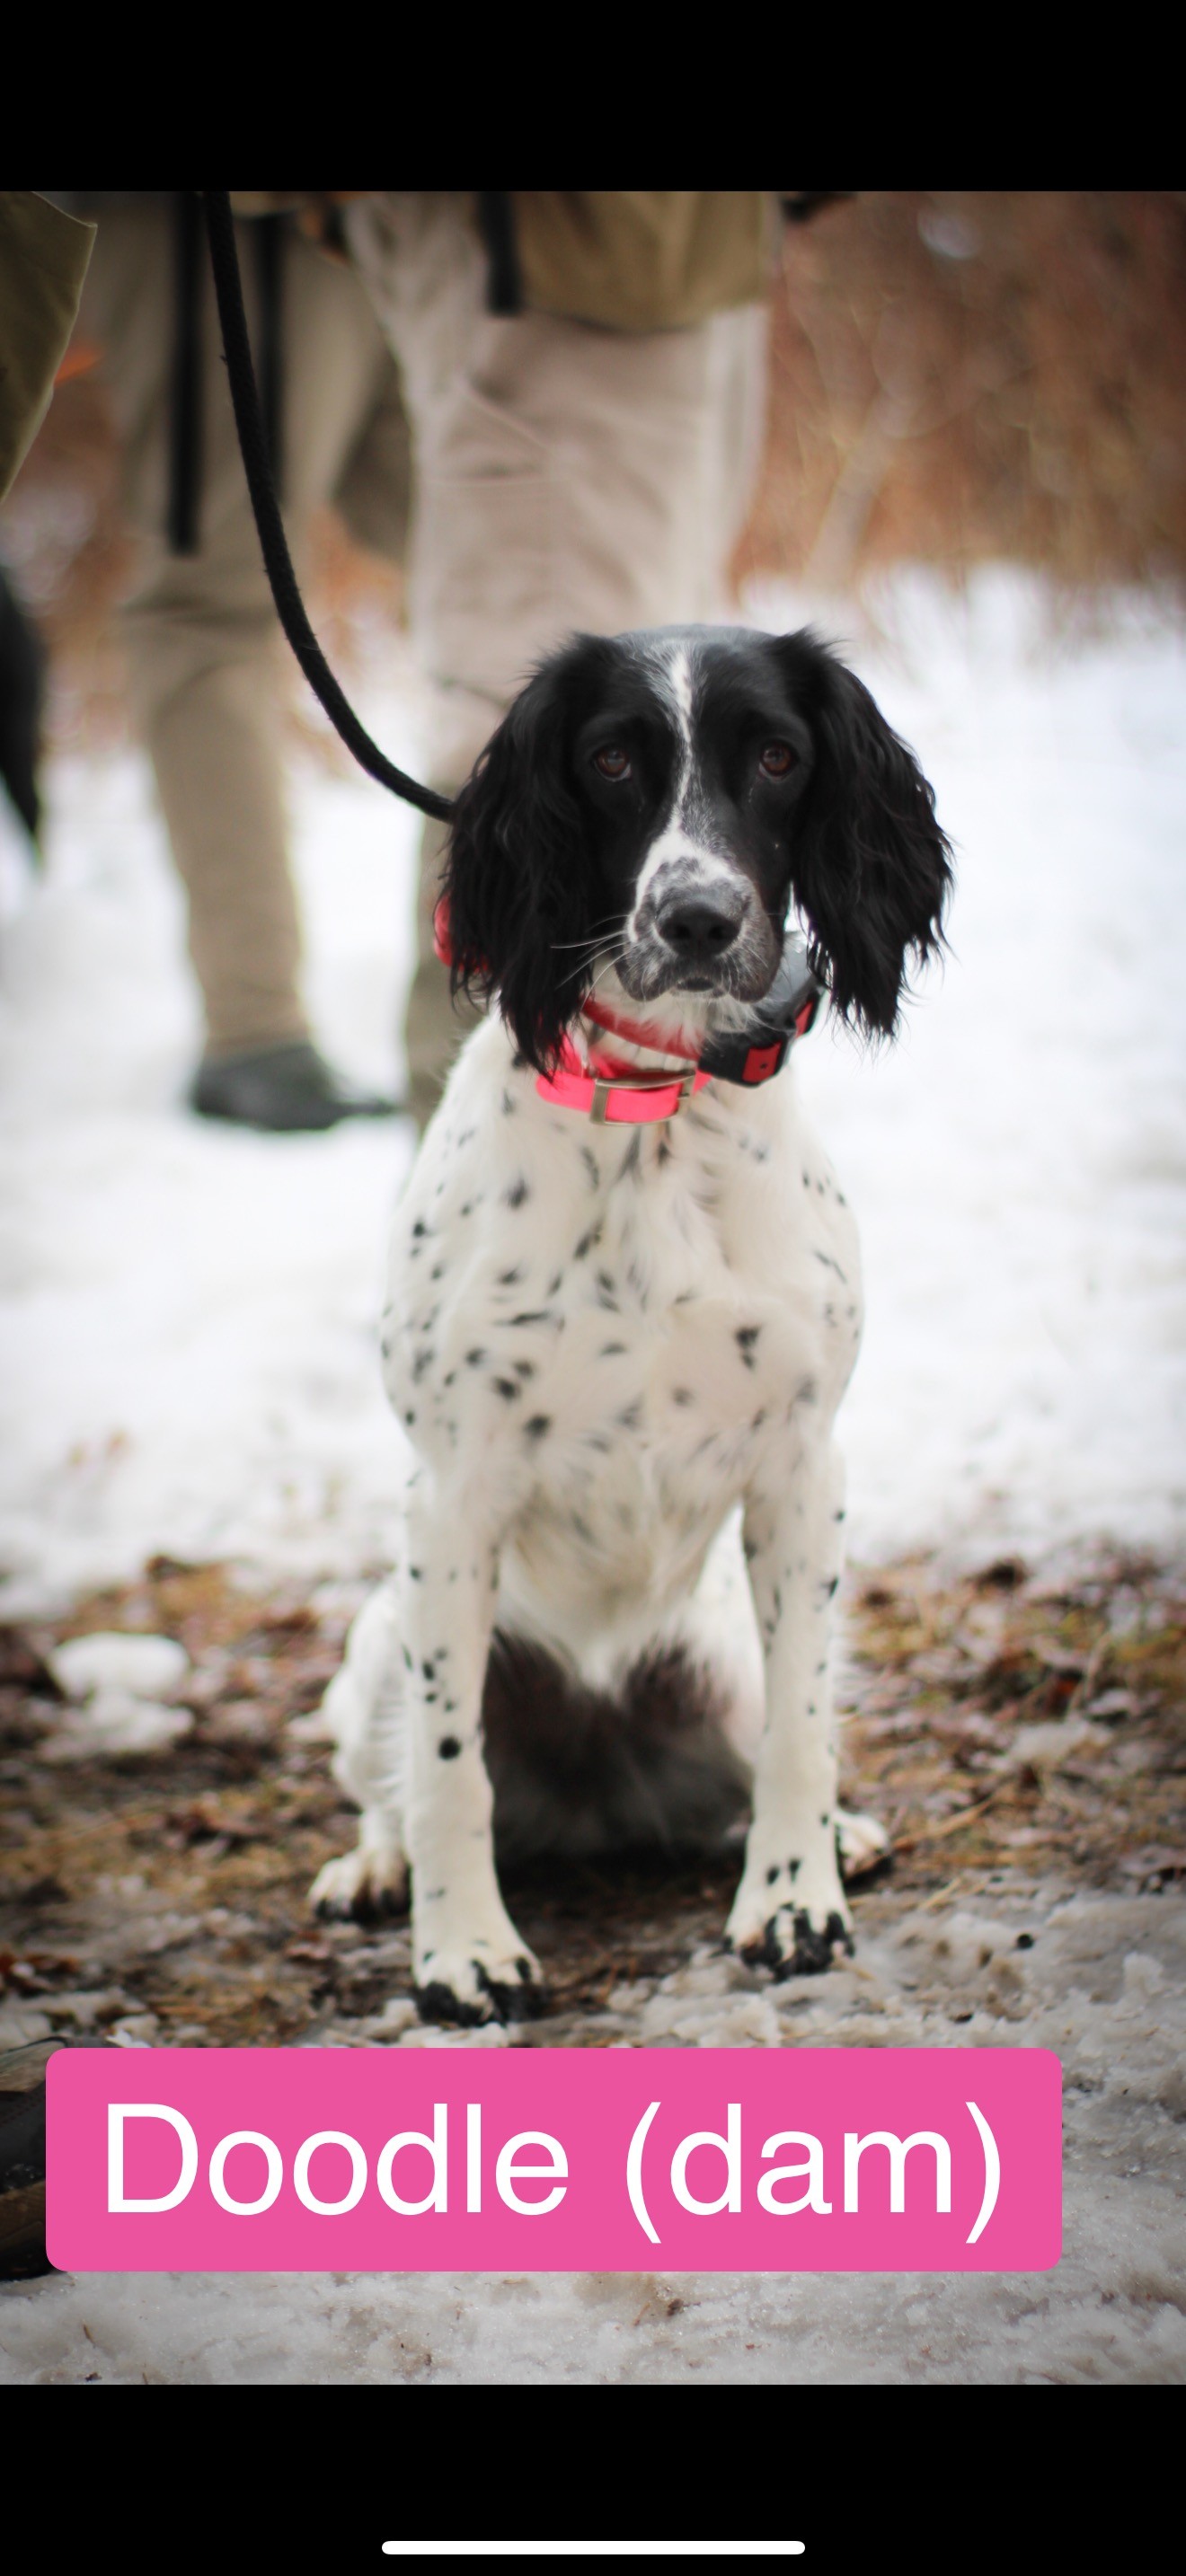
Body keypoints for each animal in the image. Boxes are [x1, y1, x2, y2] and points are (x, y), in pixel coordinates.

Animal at [311, 623, 951, 2024]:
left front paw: (795, 1904)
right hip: (386, 1633)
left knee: (767, 1737)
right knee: (397, 1778)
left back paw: (836, 1837)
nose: (698, 918)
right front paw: (462, 1954)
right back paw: (374, 1871)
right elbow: (450, 1768)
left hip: (716, 1652)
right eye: (610, 760)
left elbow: (802, 1731)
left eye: (779, 756)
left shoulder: (802, 1471)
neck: (654, 1107)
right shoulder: (453, 1495)